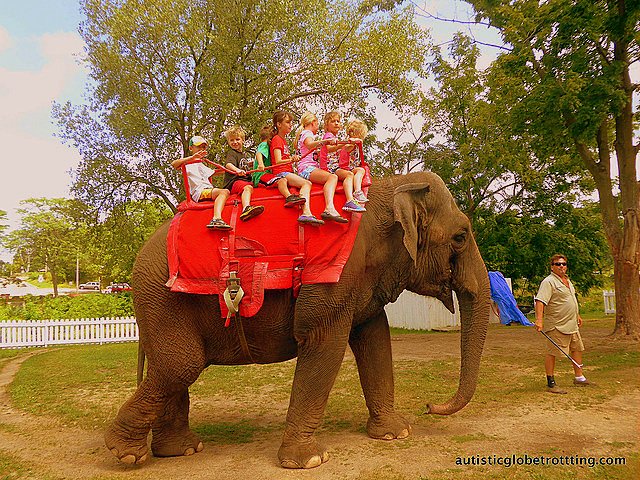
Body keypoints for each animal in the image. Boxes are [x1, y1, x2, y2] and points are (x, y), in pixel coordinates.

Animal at [104, 171, 491, 469]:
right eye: (460, 236)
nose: (428, 406)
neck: (388, 187)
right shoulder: (330, 279)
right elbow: (324, 344)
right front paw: (309, 461)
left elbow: (376, 340)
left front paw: (395, 433)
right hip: (163, 298)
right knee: (180, 365)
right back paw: (126, 454)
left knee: (169, 367)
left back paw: (180, 450)